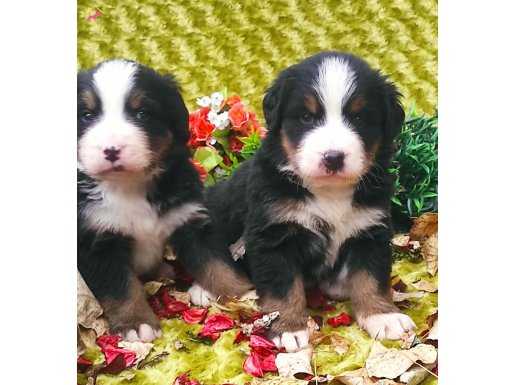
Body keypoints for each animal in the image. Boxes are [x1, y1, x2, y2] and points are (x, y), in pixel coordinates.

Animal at [77, 60, 252, 342]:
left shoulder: (190, 218)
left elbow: (217, 263)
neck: (130, 186)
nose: (112, 150)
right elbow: (121, 288)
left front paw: (241, 293)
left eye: (142, 113)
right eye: (87, 115)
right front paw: (136, 323)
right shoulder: (98, 242)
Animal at [204, 51, 418, 352]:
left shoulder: (371, 229)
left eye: (359, 117)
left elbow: (371, 277)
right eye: (306, 117)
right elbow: (284, 289)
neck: (329, 192)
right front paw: (288, 328)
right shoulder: (274, 236)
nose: (333, 157)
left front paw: (382, 316)